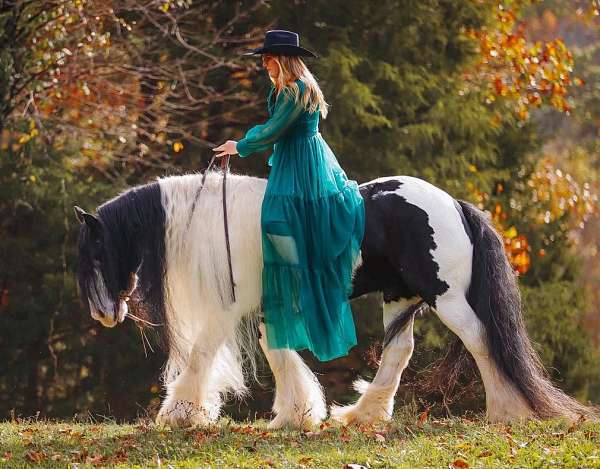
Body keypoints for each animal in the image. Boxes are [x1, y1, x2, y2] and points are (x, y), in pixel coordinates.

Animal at [75, 170, 596, 426]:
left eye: (96, 251)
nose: (103, 314)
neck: (215, 222)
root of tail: (452, 204)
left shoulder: (227, 309)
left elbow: (202, 355)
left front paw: (180, 414)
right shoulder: (266, 309)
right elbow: (278, 353)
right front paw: (297, 415)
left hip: (445, 298)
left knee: (481, 340)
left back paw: (505, 412)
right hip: (400, 297)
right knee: (399, 353)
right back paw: (363, 415)